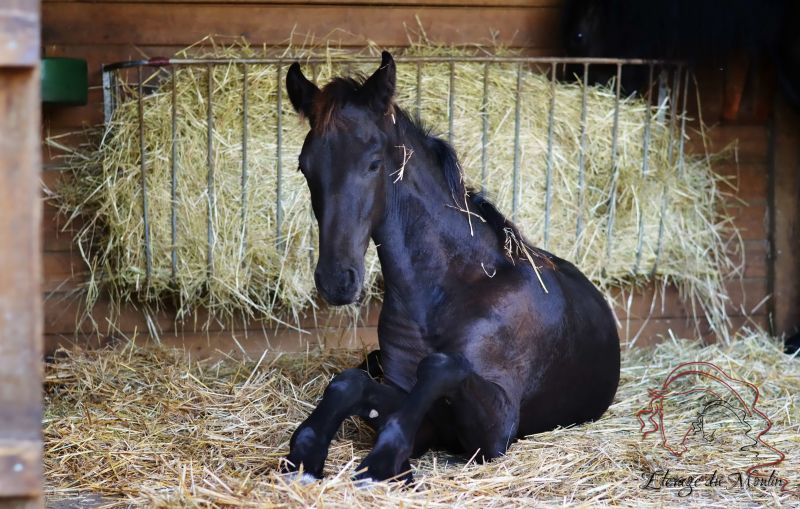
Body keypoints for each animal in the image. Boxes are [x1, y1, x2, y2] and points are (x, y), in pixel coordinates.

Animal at [280, 53, 620, 482]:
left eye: (373, 163)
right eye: (304, 167)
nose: (335, 281)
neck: (451, 289)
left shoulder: (495, 430)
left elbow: (441, 366)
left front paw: (383, 459)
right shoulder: (419, 416)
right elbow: (349, 383)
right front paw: (305, 451)